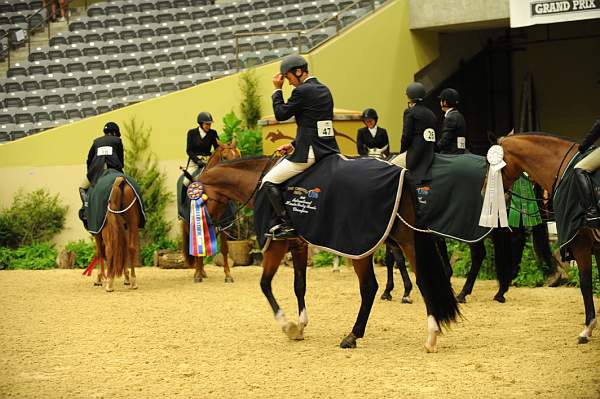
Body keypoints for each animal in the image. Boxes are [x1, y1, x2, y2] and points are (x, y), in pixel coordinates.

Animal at [180, 141, 241, 284]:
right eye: (224, 157)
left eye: (239, 156)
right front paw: (197, 275)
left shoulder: (224, 225)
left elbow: (224, 249)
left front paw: (228, 275)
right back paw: (199, 272)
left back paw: (202, 271)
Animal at [197, 156, 460, 354]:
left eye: (200, 200)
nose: (217, 228)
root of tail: (401, 172)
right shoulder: (298, 246)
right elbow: (299, 286)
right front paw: (301, 326)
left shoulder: (275, 246)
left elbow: (265, 284)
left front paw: (288, 326)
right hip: (405, 239)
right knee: (423, 280)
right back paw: (431, 335)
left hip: (361, 247)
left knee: (370, 288)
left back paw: (353, 336)